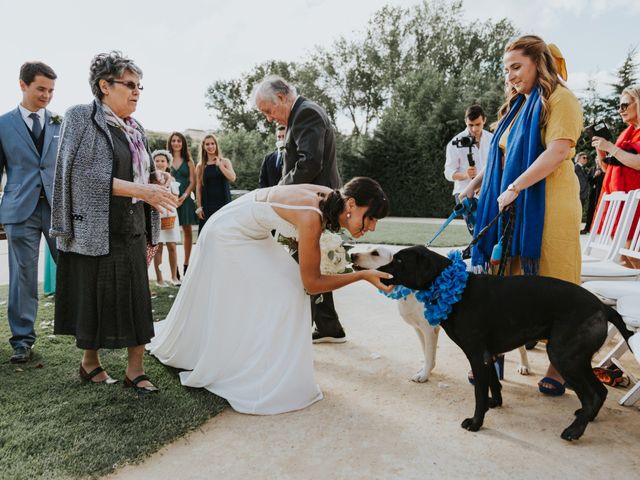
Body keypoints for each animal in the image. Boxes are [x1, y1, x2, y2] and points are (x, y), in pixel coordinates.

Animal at [356, 246, 636, 440]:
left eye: (399, 260)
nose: (379, 272)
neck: (456, 290)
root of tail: (602, 307)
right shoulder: (487, 355)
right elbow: (494, 383)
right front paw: (496, 403)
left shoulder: (476, 354)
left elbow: (479, 393)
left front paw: (476, 422)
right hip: (577, 360)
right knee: (600, 392)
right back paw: (587, 418)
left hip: (564, 357)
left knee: (592, 394)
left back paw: (575, 431)